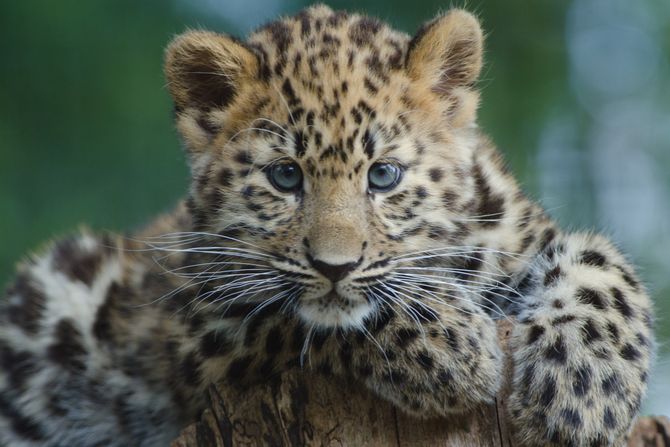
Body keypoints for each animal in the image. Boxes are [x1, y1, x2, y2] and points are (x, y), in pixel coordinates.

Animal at [0, 5, 654, 446]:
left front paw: (584, 393)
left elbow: (603, 269)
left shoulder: (519, 233)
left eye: (384, 175)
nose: (333, 266)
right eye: (285, 177)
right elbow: (311, 314)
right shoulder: (191, 319)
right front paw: (457, 354)